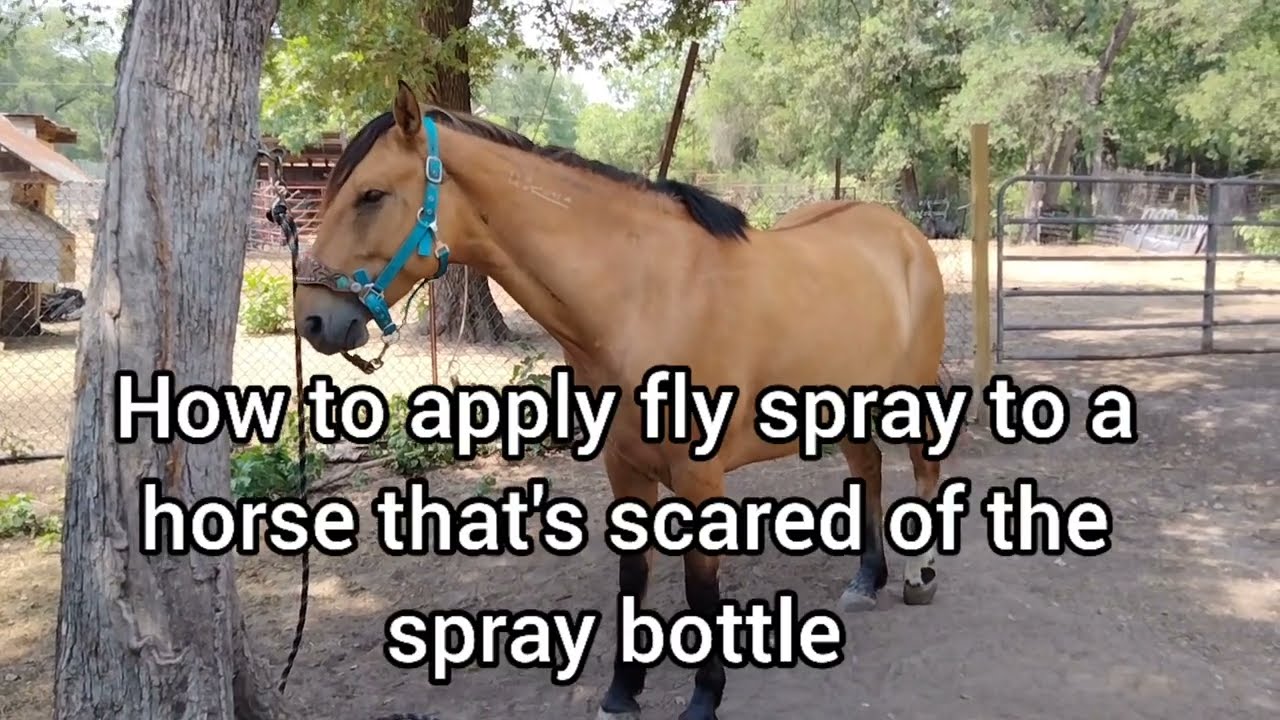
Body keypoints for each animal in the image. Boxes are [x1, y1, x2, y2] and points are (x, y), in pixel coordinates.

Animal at [292, 80, 950, 720]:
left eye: (371, 195)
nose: (313, 320)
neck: (642, 297)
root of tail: (903, 233)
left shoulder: (700, 477)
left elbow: (700, 586)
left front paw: (704, 699)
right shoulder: (624, 465)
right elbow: (632, 577)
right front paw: (621, 692)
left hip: (912, 394)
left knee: (924, 471)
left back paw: (917, 577)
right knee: (868, 470)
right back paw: (866, 581)